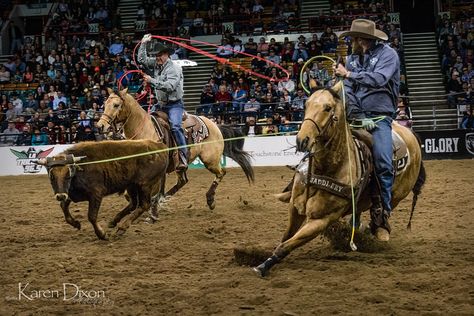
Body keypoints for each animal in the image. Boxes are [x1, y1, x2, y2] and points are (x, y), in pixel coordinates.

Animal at [97, 87, 256, 210]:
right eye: (104, 104)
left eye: (116, 105)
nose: (100, 126)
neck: (145, 131)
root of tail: (214, 124)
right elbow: (128, 193)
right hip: (181, 164)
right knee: (182, 181)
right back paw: (164, 199)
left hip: (210, 160)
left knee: (221, 173)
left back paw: (210, 199)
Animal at [254, 81, 428, 276]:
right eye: (306, 104)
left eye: (327, 107)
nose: (301, 140)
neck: (326, 169)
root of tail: (411, 134)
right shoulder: (295, 207)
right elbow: (286, 236)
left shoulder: (321, 220)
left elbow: (287, 245)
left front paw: (263, 266)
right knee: (357, 213)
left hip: (398, 194)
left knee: (386, 205)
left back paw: (380, 229)